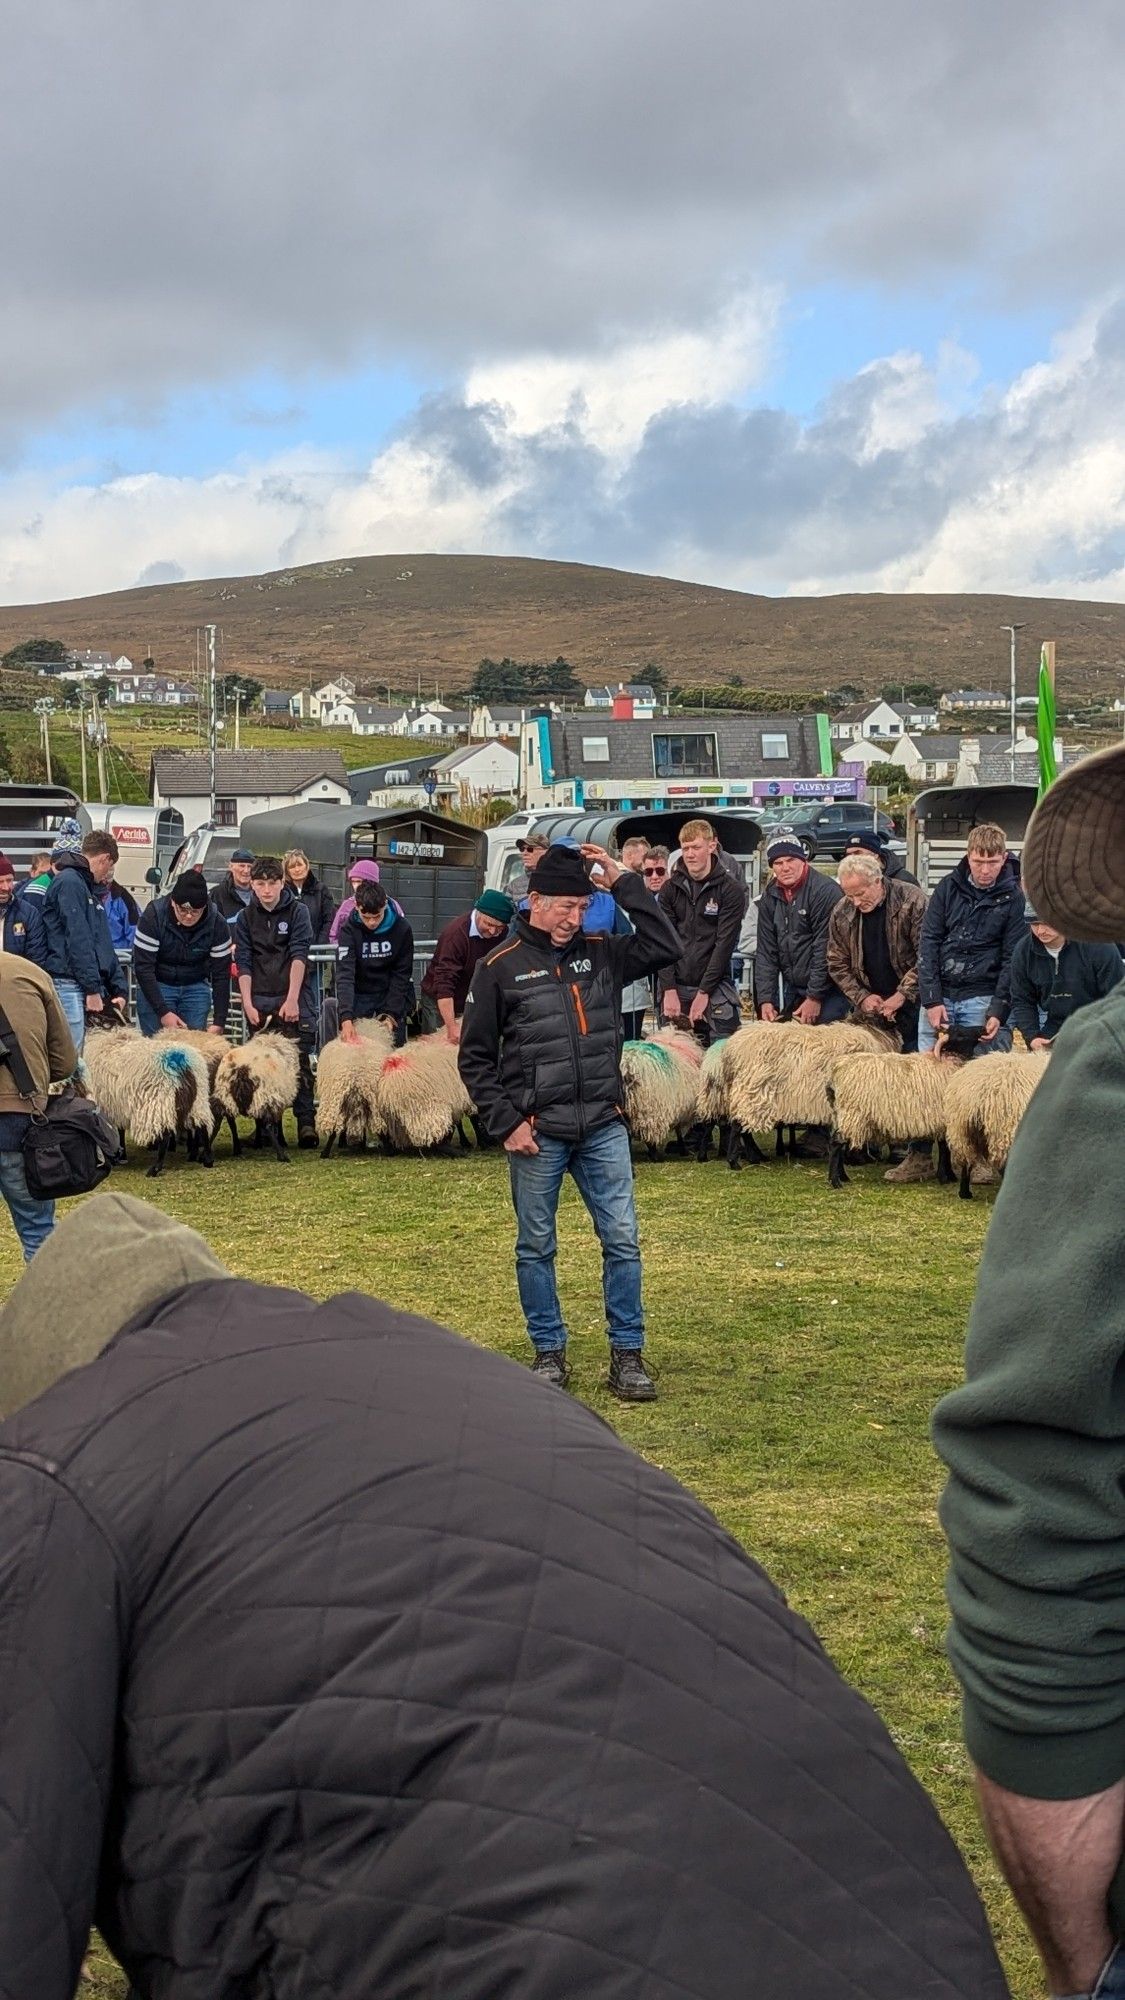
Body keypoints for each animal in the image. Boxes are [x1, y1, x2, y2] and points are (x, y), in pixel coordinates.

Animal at [212, 1032, 300, 1160]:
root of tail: (242, 1068)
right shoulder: (278, 1100)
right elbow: (277, 1122)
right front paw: (281, 1141)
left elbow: (257, 1122)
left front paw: (257, 1143)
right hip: (264, 1096)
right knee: (268, 1125)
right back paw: (281, 1155)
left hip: (226, 1095)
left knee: (224, 1123)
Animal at [312, 1016, 396, 1160]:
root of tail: (356, 1072)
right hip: (370, 1098)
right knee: (379, 1125)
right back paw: (389, 1150)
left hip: (336, 1098)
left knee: (334, 1128)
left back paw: (326, 1152)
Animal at [616, 1032, 696, 1160]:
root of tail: (627, 1065)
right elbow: (678, 1131)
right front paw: (683, 1150)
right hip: (648, 1108)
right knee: (649, 1133)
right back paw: (655, 1155)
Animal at [812, 1032, 980, 1184]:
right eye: (961, 1035)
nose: (981, 1031)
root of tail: (836, 1071)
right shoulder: (944, 1118)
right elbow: (945, 1148)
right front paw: (945, 1177)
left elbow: (945, 1147)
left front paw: (949, 1175)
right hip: (852, 1114)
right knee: (836, 1144)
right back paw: (835, 1181)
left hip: (842, 1114)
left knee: (838, 1145)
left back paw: (843, 1177)